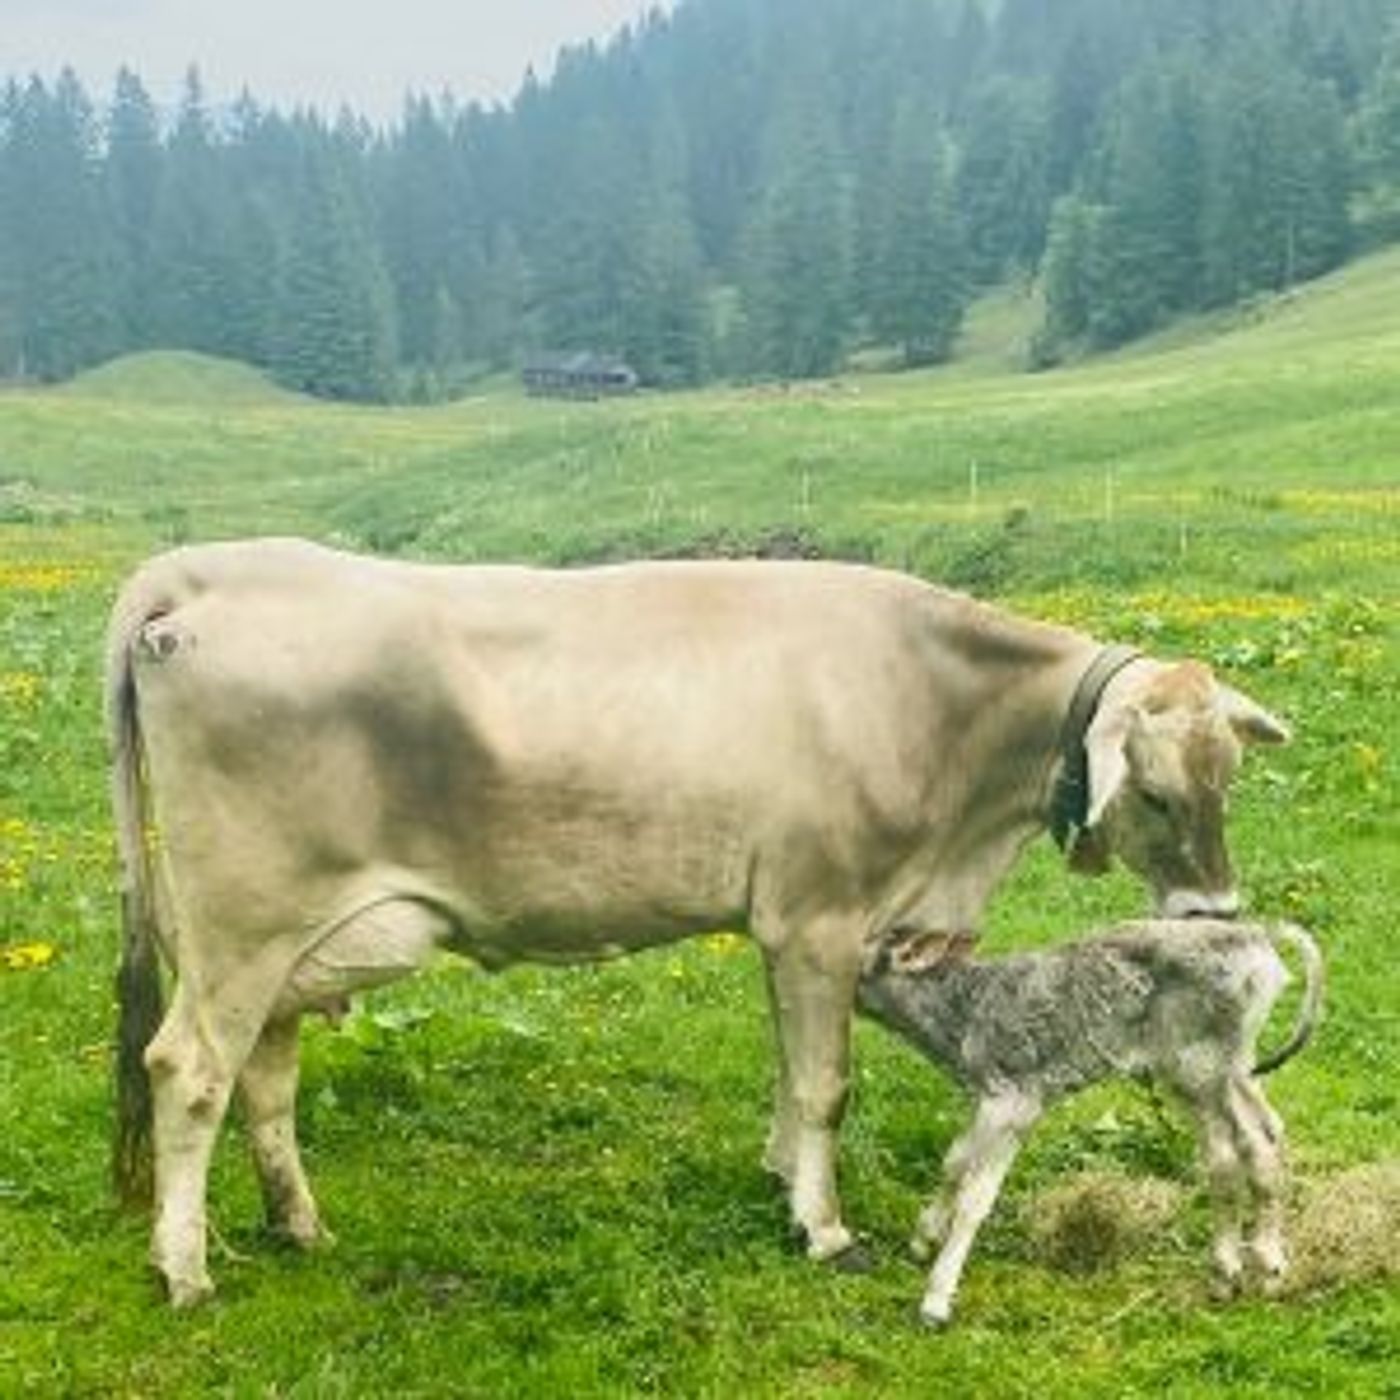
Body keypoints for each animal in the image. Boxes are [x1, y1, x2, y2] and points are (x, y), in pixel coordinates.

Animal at [104, 539, 1290, 1306]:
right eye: (1152, 793)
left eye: (1227, 775)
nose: (1214, 911)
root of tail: (198, 567)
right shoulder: (819, 914)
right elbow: (825, 1081)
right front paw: (824, 1228)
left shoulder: (780, 922)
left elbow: (786, 1068)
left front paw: (780, 1177)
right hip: (242, 925)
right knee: (189, 1068)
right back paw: (185, 1269)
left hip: (292, 942)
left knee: (264, 1075)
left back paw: (297, 1224)